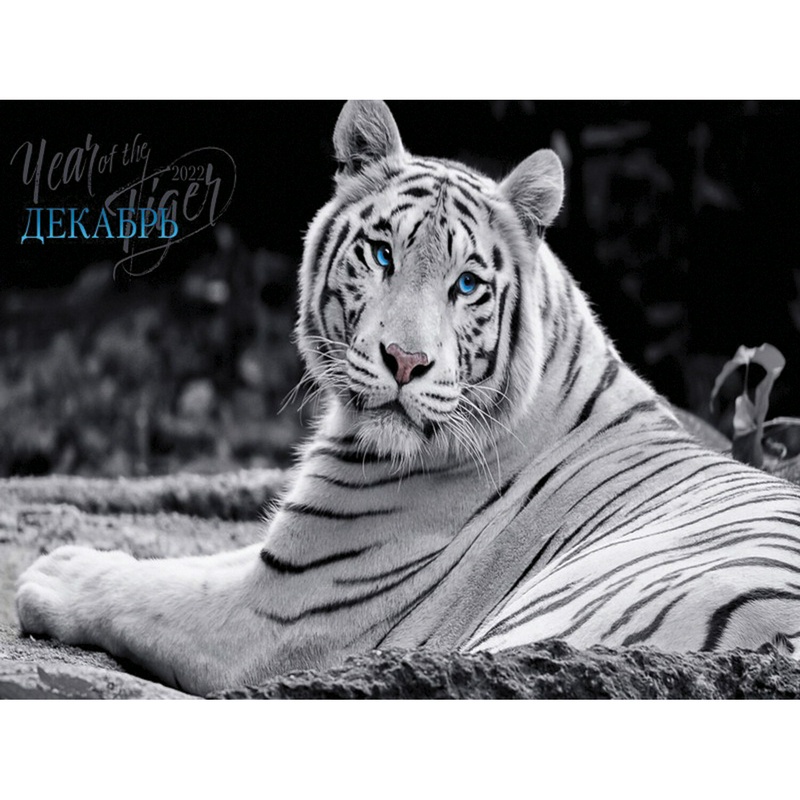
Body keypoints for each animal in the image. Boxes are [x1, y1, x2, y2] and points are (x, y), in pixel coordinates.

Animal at [15, 100, 800, 696]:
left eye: (467, 284)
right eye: (383, 253)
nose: (406, 360)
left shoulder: (277, 609)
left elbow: (149, 592)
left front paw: (53, 570)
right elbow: (194, 560)